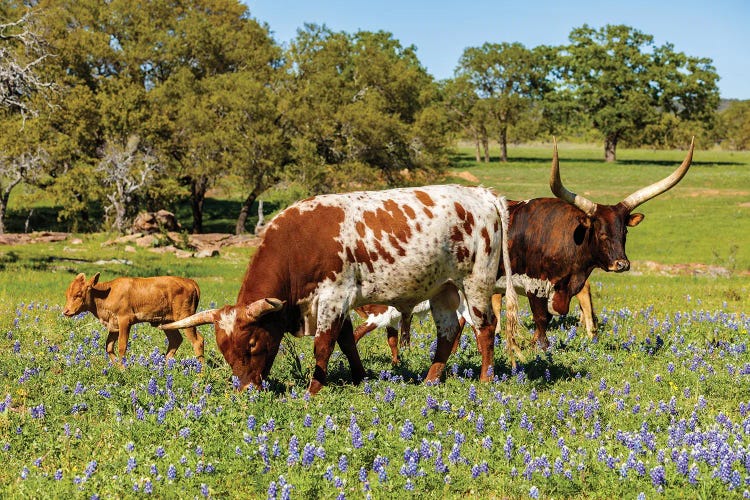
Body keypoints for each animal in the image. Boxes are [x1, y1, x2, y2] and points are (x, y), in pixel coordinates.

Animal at [62, 274, 204, 364]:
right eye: (67, 294)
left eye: (78, 294)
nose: (66, 311)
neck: (106, 294)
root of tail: (191, 282)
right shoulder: (114, 325)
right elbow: (109, 347)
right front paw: (117, 366)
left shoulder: (125, 320)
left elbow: (122, 346)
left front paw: (123, 368)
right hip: (168, 322)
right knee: (176, 340)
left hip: (186, 319)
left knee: (198, 341)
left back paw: (201, 374)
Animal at [160, 185, 524, 394]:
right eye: (223, 348)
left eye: (251, 343)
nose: (246, 390)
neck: (297, 244)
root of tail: (482, 195)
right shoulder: (340, 304)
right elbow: (348, 342)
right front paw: (360, 378)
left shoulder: (333, 298)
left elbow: (323, 345)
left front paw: (313, 390)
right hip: (443, 289)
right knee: (447, 332)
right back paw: (431, 380)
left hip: (475, 282)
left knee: (485, 327)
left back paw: (486, 379)